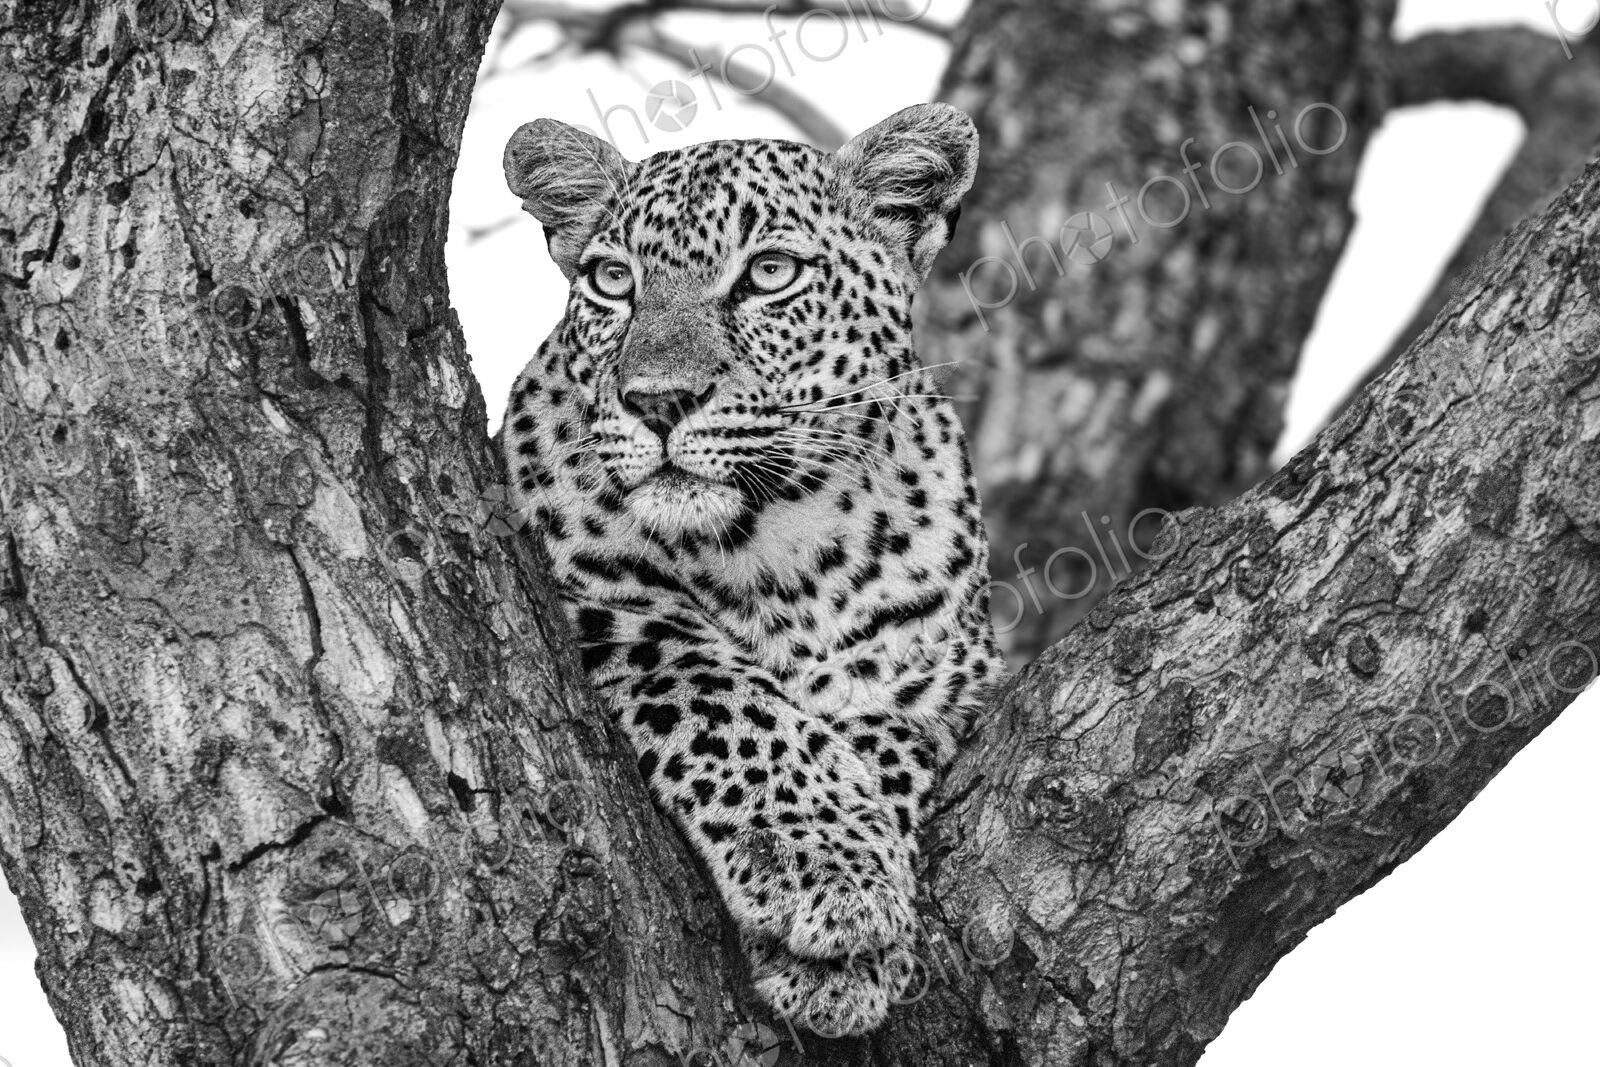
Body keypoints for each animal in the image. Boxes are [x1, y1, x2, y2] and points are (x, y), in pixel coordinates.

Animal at [500, 102, 1005, 1037]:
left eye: (770, 273)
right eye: (613, 281)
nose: (657, 401)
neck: (778, 541)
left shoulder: (947, 674)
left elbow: (879, 737)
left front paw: (850, 937)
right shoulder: (604, 609)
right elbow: (727, 703)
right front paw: (829, 872)